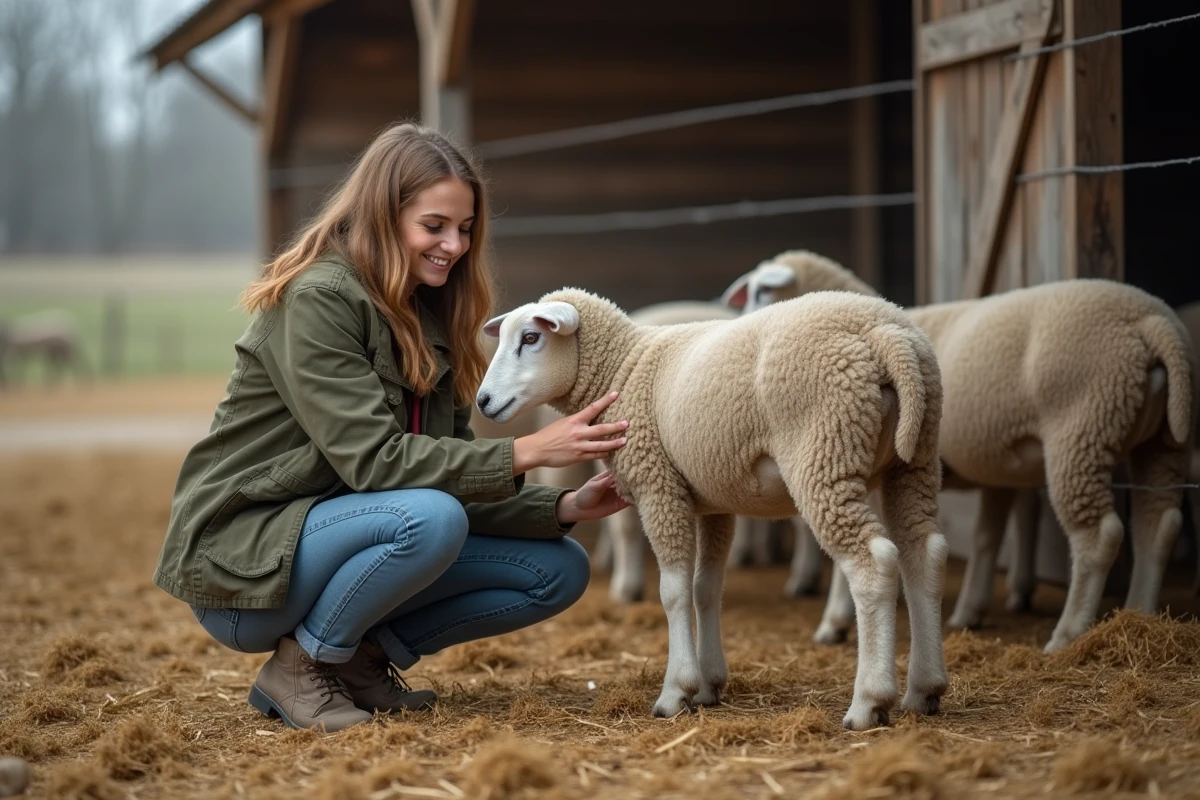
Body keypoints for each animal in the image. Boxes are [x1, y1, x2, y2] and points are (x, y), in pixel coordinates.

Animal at [476, 286, 949, 730]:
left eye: (531, 338)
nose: (482, 401)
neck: (623, 367)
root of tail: (885, 332)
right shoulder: (712, 500)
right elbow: (706, 587)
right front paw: (709, 685)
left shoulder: (659, 486)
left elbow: (673, 591)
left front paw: (676, 691)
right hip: (914, 458)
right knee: (922, 554)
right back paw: (923, 690)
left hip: (823, 447)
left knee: (874, 563)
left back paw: (869, 700)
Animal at [725, 251, 1195, 653]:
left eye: (762, 292)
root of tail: (1151, 320)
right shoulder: (999, 468)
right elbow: (986, 537)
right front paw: (967, 611)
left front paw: (835, 622)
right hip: (1163, 441)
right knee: (1159, 524)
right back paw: (1141, 615)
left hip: (1082, 423)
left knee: (1099, 534)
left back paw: (1068, 633)